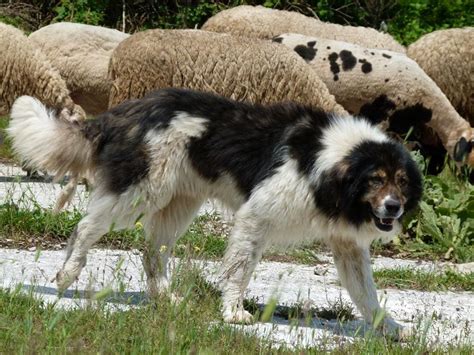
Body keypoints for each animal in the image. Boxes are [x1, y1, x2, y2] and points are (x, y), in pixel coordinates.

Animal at [7, 88, 422, 336]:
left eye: (401, 182)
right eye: (376, 179)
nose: (394, 207)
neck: (330, 161)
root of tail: (123, 111)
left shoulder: (348, 247)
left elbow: (366, 293)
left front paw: (390, 328)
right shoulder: (256, 215)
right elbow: (239, 271)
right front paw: (233, 314)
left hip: (177, 205)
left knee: (151, 252)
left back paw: (165, 298)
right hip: (140, 193)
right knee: (85, 227)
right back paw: (66, 274)